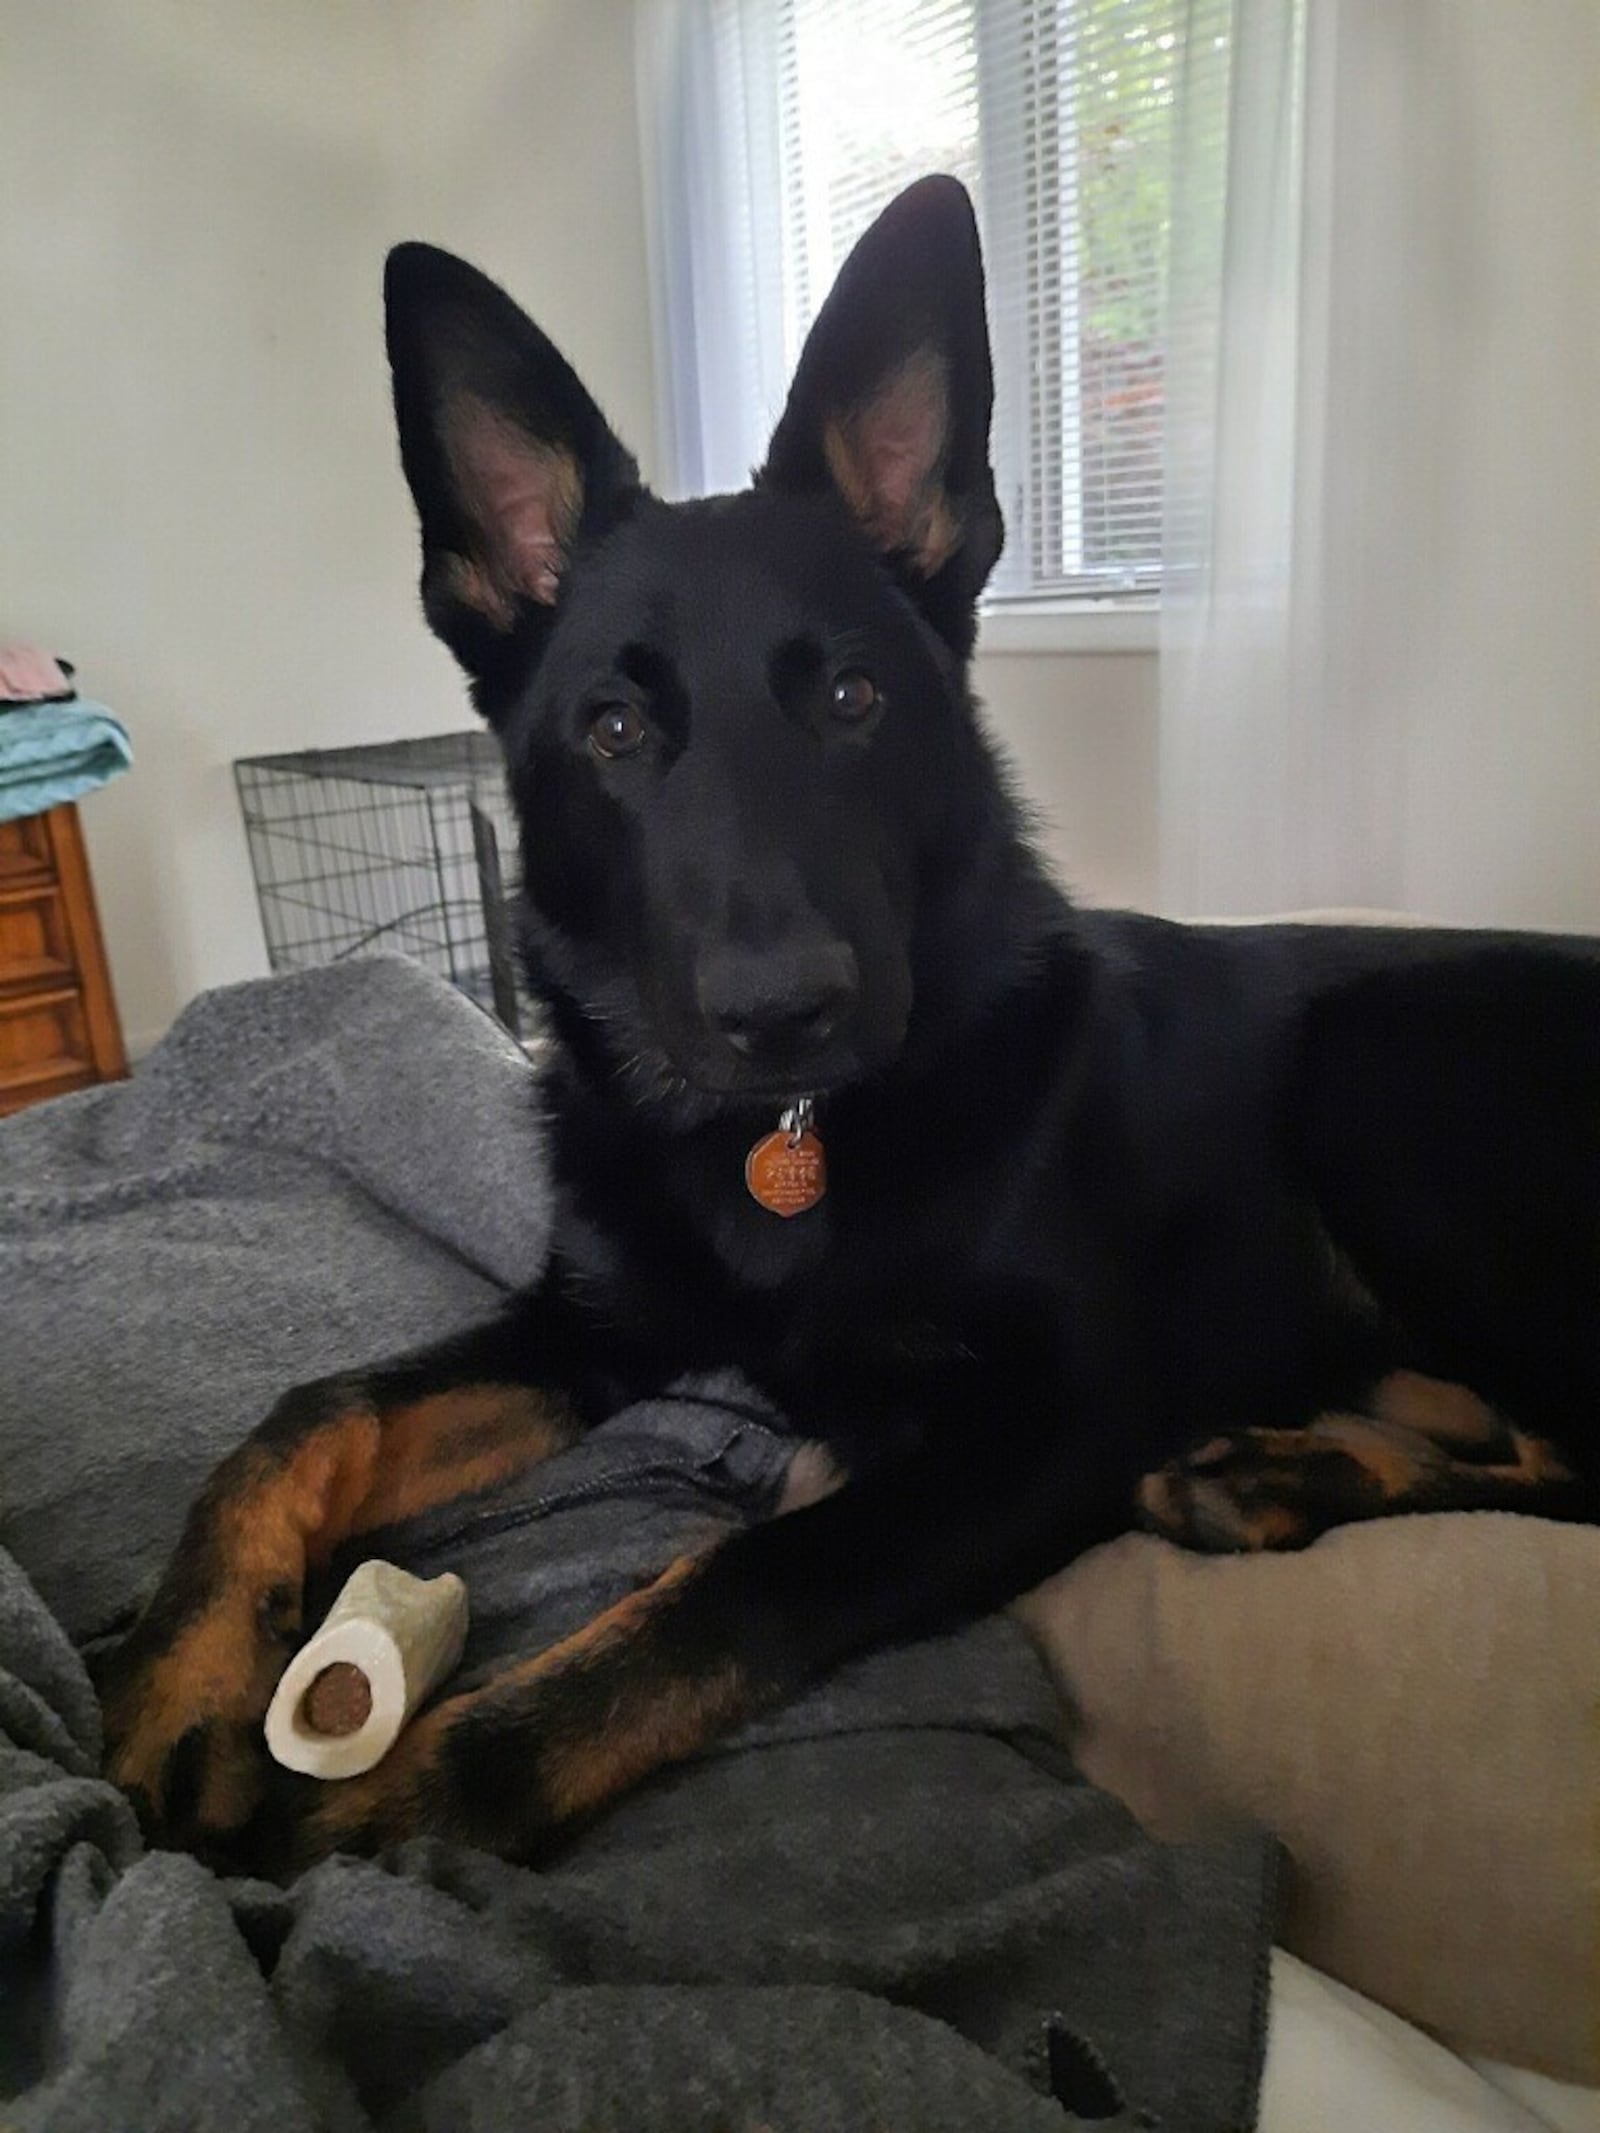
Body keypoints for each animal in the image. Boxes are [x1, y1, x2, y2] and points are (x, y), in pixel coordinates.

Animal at [106, 174, 1595, 1859]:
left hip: (1383, 1069)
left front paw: (405, 1794)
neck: (779, 1143)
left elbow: (740, 1577)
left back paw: (1280, 1480)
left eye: (852, 700)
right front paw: (183, 1674)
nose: (784, 1014)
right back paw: (1291, 1468)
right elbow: (310, 1411)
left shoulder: (1061, 1419)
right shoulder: (587, 1326)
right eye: (612, 730)